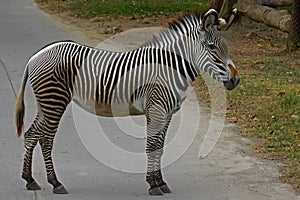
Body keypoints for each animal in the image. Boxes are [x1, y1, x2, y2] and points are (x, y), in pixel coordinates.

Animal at [13, 9, 239, 195]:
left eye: (226, 47)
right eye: (211, 47)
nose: (235, 80)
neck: (168, 70)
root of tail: (36, 56)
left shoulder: (167, 114)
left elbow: (160, 148)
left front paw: (161, 182)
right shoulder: (156, 110)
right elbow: (151, 146)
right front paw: (153, 184)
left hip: (46, 103)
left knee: (31, 134)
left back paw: (29, 180)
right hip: (55, 101)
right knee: (46, 140)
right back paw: (55, 183)